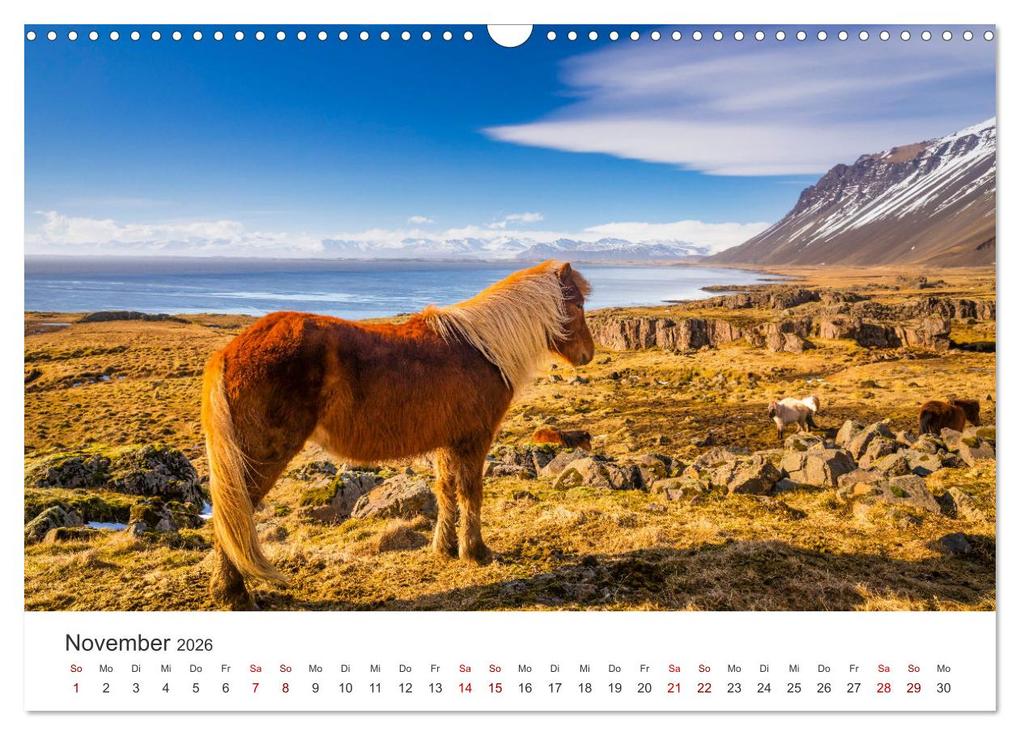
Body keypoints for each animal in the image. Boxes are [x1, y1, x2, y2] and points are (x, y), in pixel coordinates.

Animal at [201, 260, 594, 609]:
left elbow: (446, 491)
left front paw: (445, 548)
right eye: (577, 304)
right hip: (260, 458)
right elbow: (471, 493)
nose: (587, 355)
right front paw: (476, 551)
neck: (485, 349)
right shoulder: (474, 440)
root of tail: (228, 351)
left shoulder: (447, 443)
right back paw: (233, 594)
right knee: (236, 514)